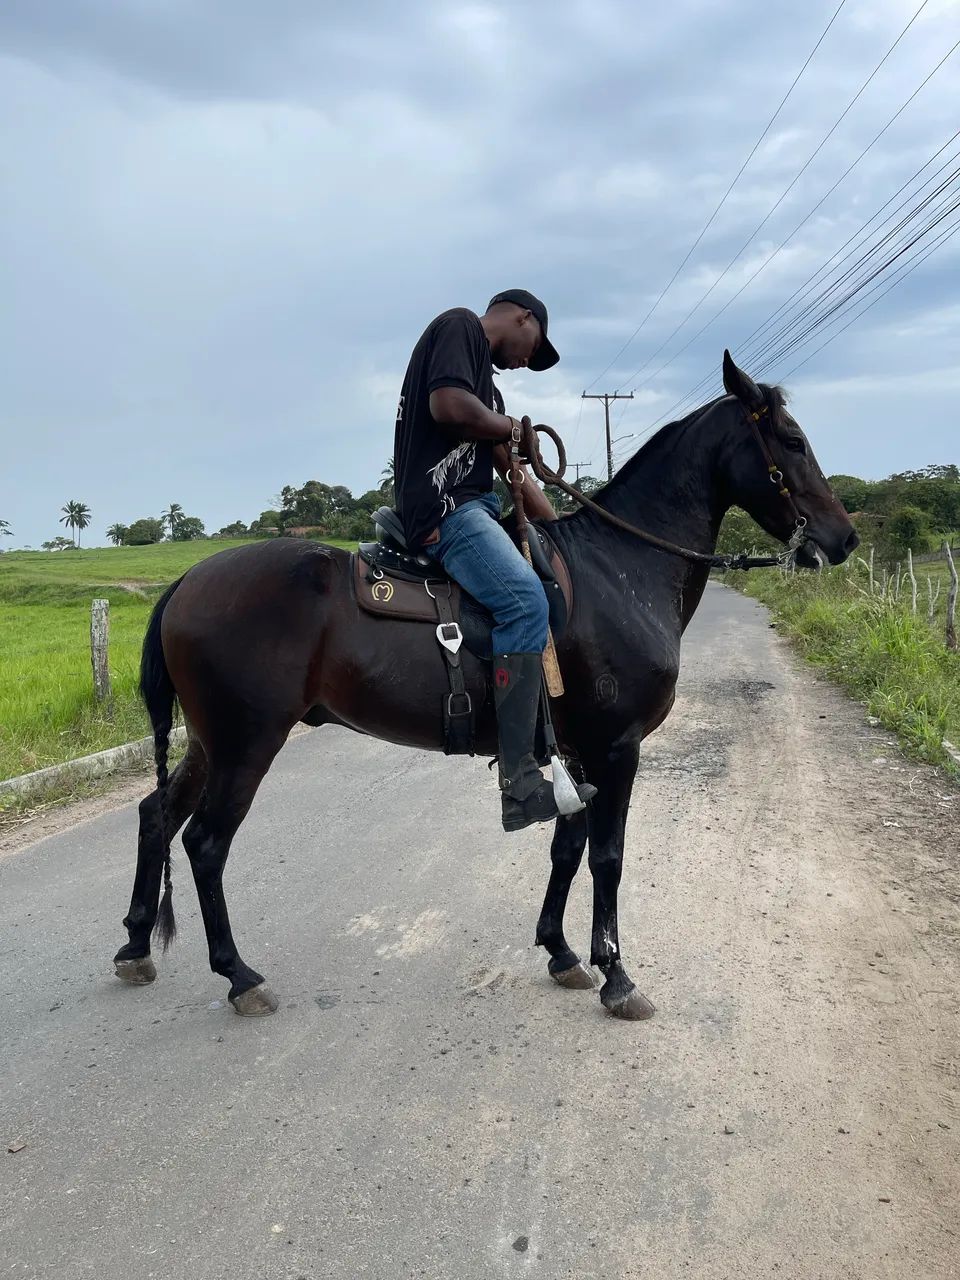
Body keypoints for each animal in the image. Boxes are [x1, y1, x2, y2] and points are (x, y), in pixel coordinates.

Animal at [113, 351, 858, 1019]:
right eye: (792, 441)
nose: (843, 538)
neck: (620, 568)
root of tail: (187, 581)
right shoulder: (617, 748)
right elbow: (608, 857)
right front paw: (617, 976)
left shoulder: (579, 752)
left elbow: (568, 848)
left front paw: (562, 952)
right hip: (247, 744)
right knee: (205, 844)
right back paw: (239, 975)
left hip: (211, 742)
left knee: (156, 817)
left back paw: (136, 946)